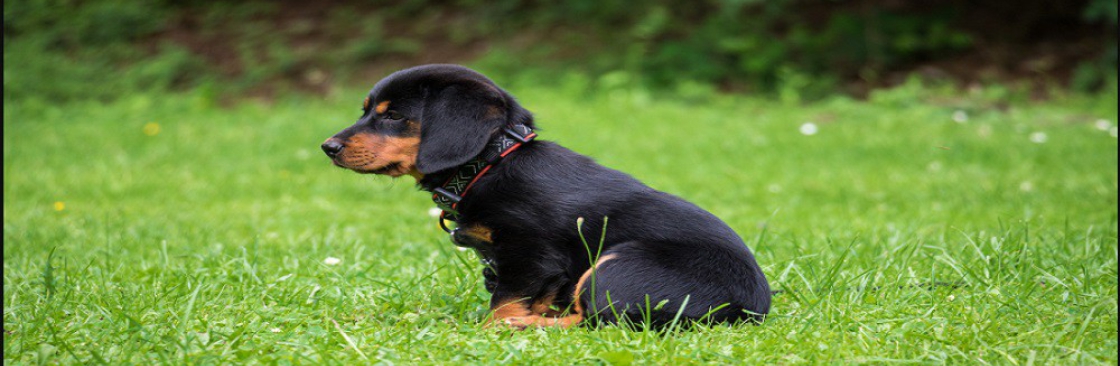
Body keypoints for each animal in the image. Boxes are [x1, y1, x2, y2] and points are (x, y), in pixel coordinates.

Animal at [320, 63, 766, 329]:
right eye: (366, 110)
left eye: (394, 116)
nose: (327, 147)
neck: (490, 162)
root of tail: (750, 310)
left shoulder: (530, 255)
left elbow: (505, 302)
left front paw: (493, 328)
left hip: (617, 265)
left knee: (594, 321)